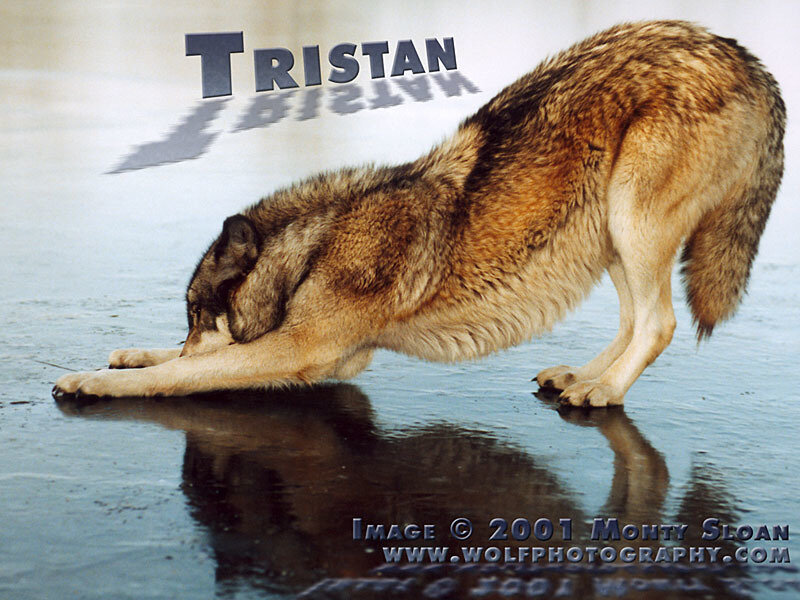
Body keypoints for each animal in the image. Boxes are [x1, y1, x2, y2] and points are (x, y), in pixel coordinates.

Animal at [53, 21, 785, 407]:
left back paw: (602, 392)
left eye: (199, 315)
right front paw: (129, 355)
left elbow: (185, 373)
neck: (319, 243)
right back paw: (582, 376)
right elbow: (174, 361)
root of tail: (741, 53)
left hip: (634, 221)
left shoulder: (306, 352)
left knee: (659, 323)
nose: (189, 331)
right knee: (635, 320)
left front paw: (92, 380)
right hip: (608, 232)